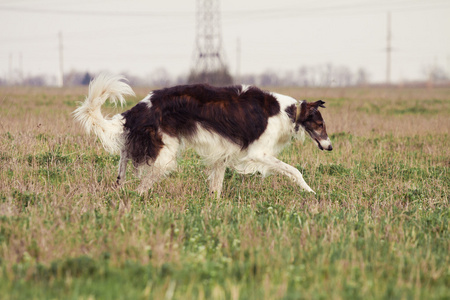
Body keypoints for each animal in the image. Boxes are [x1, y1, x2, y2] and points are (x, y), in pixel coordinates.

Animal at [74, 74, 332, 197]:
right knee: (141, 186)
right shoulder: (258, 152)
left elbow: (216, 186)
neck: (289, 112)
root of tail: (140, 106)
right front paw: (310, 192)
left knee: (124, 156)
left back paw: (119, 182)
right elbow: (294, 171)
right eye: (320, 124)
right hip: (165, 155)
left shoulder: (223, 153)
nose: (330, 147)